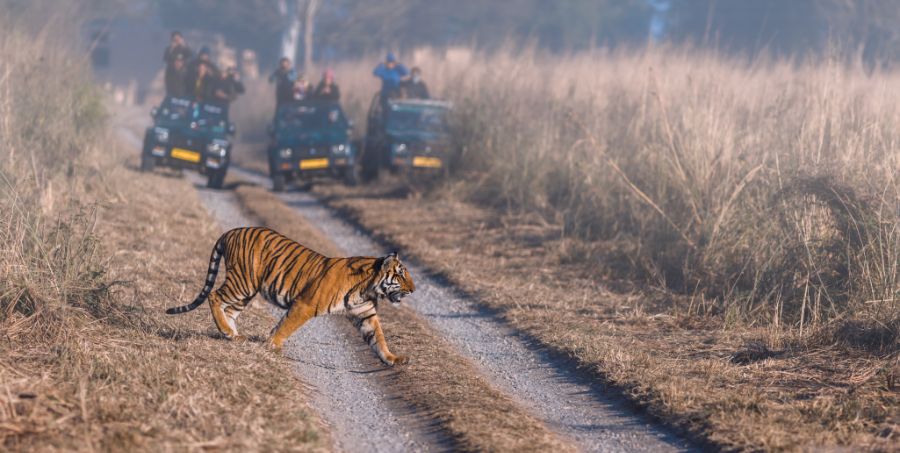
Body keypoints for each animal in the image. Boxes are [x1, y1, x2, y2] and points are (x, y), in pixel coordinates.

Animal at [164, 227, 415, 366]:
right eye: (401, 275)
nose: (413, 290)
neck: (367, 288)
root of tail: (231, 231)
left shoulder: (366, 315)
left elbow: (378, 338)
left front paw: (393, 359)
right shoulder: (305, 304)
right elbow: (287, 325)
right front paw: (272, 345)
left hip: (247, 290)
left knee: (230, 310)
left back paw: (233, 336)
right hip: (243, 282)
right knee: (215, 296)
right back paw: (227, 331)